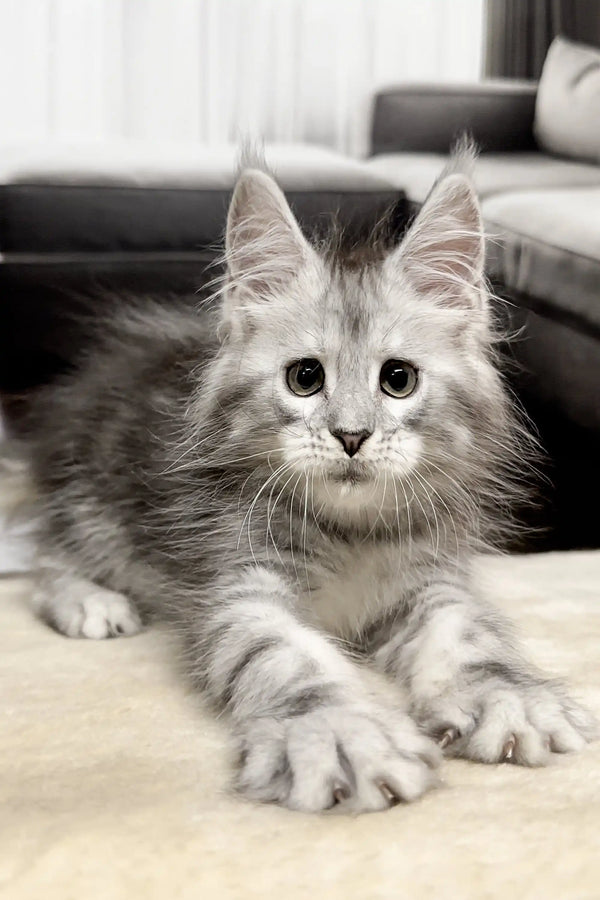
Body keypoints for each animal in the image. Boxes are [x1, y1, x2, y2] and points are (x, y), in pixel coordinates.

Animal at [24, 158, 596, 812]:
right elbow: (287, 658)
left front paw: (508, 696)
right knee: (46, 557)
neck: (351, 533)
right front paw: (344, 733)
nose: (351, 435)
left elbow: (468, 633)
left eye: (398, 379)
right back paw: (90, 601)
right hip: (94, 502)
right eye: (305, 378)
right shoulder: (239, 584)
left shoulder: (428, 580)